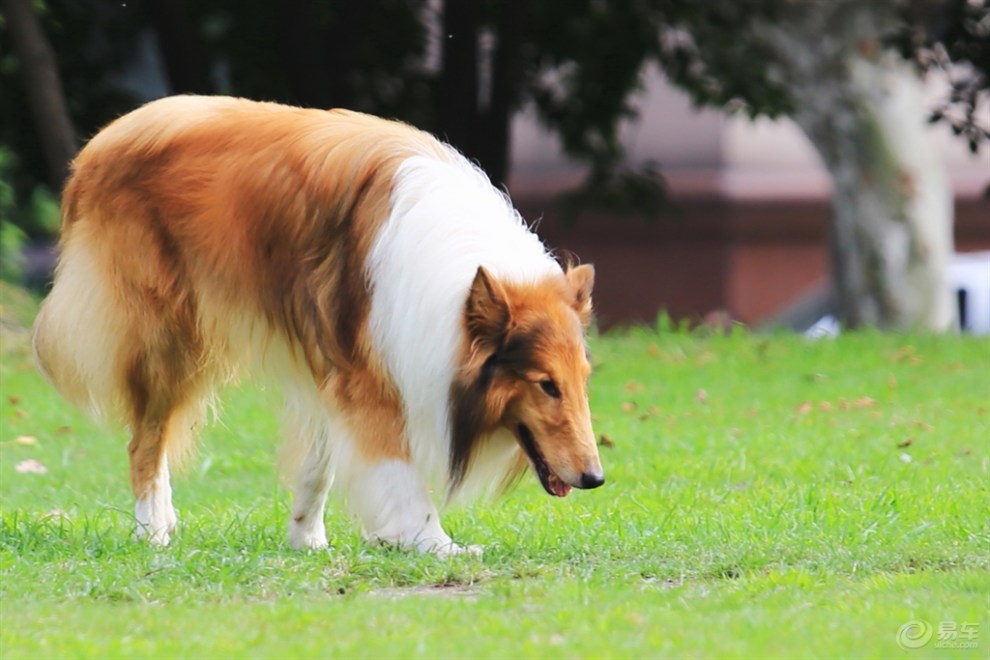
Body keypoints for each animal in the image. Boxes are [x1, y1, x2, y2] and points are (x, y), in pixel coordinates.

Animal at [33, 95, 604, 556]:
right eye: (546, 385)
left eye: (581, 381)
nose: (595, 478)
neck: (457, 278)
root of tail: (98, 145)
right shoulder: (367, 376)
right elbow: (397, 470)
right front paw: (432, 543)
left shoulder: (331, 366)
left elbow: (320, 463)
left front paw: (307, 538)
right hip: (168, 340)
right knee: (145, 444)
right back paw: (152, 530)